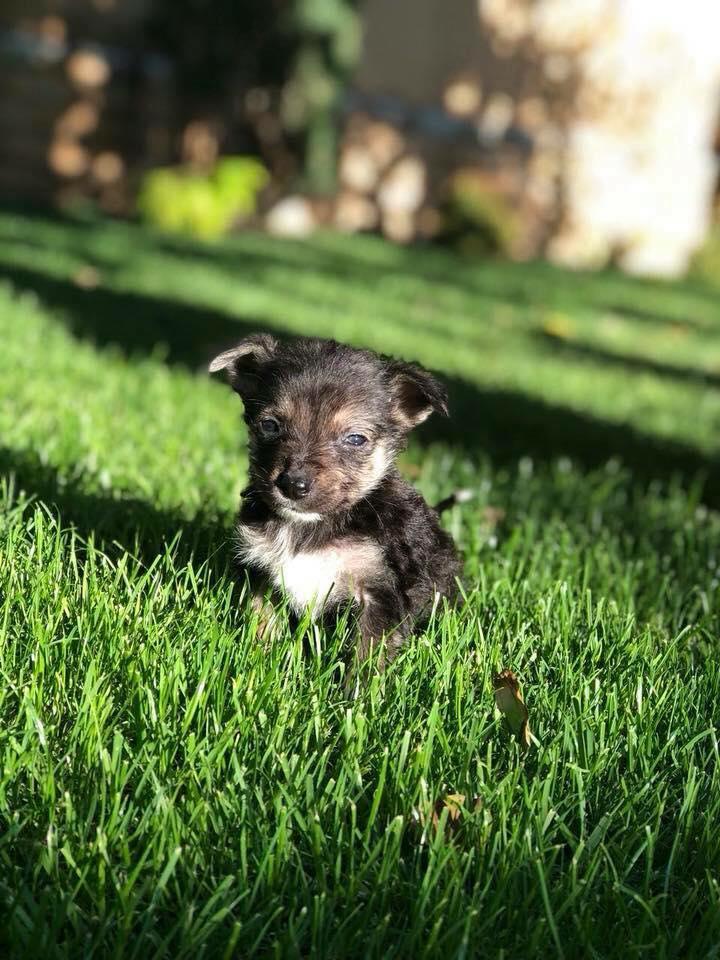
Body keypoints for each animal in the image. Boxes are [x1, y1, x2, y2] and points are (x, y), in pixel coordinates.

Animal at [211, 334, 462, 664]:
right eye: (270, 425)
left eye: (355, 439)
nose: (293, 485)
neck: (308, 527)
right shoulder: (264, 575)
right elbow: (262, 624)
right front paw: (258, 661)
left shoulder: (381, 595)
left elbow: (367, 657)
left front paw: (357, 682)